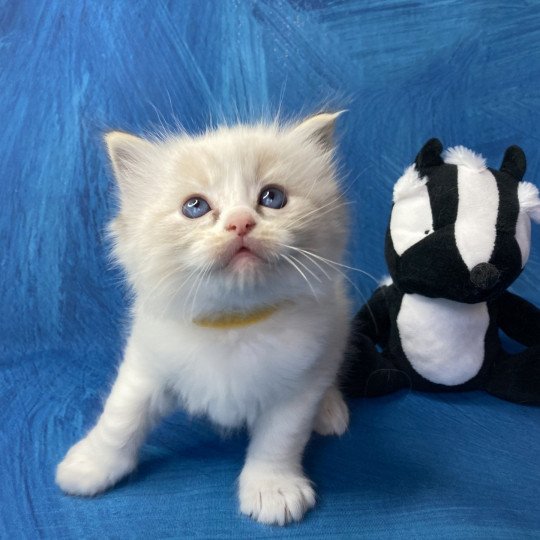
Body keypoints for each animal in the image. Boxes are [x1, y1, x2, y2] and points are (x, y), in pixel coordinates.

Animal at [54, 113, 350, 524]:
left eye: (272, 198)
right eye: (195, 207)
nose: (240, 222)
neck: (233, 323)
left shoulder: (298, 385)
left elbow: (279, 440)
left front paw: (272, 489)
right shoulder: (147, 366)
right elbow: (120, 419)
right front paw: (91, 467)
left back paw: (330, 409)